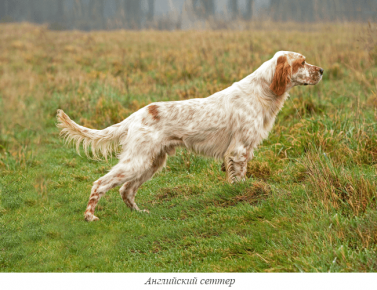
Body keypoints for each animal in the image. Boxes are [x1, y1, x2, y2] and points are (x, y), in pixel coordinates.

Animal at [57, 51, 322, 221]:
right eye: (302, 62)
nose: (321, 70)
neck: (262, 92)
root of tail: (135, 115)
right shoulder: (238, 150)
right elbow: (239, 178)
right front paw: (244, 197)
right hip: (137, 161)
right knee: (100, 183)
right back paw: (90, 216)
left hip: (152, 162)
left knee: (126, 190)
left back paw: (139, 214)